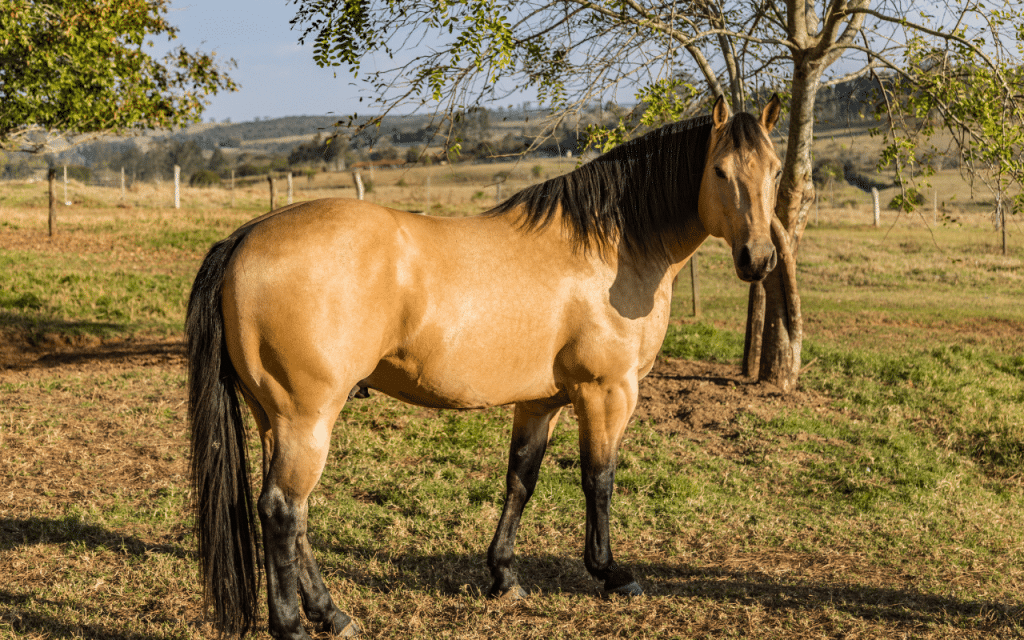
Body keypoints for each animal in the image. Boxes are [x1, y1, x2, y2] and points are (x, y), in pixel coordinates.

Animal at [186, 95, 782, 639]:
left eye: (775, 170)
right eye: (720, 170)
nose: (758, 259)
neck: (611, 249)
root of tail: (244, 239)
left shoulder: (540, 402)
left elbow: (521, 480)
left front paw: (503, 576)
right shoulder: (607, 392)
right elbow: (599, 479)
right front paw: (611, 573)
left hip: (276, 419)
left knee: (297, 515)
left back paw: (332, 614)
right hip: (306, 419)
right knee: (282, 510)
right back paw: (292, 625)